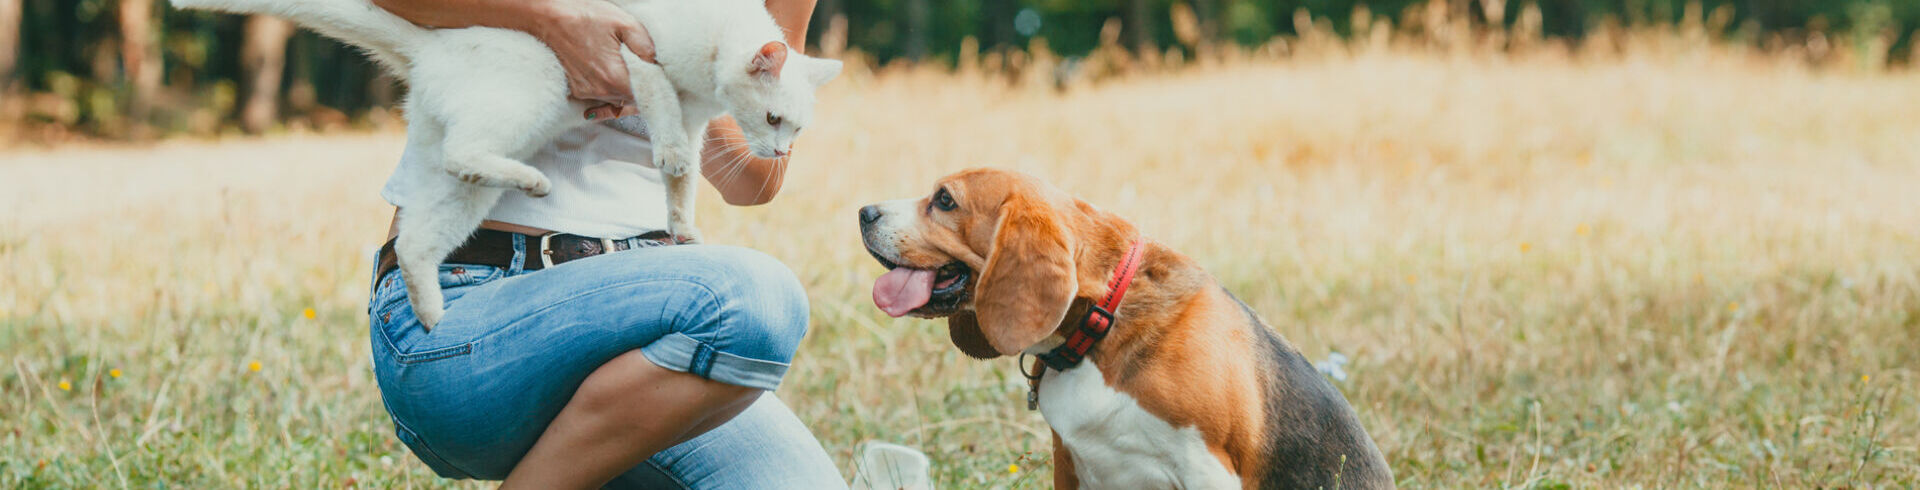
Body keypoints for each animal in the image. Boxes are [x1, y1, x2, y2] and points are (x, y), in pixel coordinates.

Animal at [168, 0, 844, 328]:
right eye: (774, 120)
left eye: (796, 129)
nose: (781, 152)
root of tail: (431, 50)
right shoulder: (633, 50)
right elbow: (663, 118)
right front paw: (672, 156)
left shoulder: (698, 115)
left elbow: (681, 184)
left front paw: (683, 226)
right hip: (534, 96)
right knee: (463, 156)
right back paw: (533, 182)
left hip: (464, 189)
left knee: (420, 232)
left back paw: (432, 315)